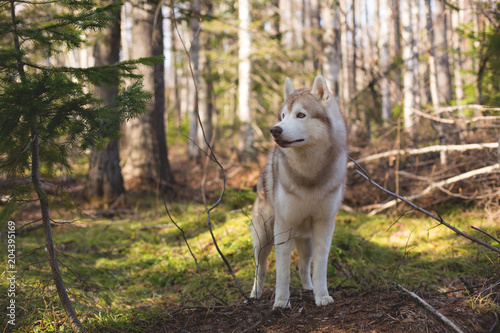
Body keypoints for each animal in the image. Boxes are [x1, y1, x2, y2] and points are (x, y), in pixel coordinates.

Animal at [250, 75, 348, 308]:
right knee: (260, 268)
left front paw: (322, 296)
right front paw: (281, 302)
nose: (274, 129)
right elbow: (282, 272)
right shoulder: (283, 226)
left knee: (304, 266)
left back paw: (307, 288)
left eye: (301, 115)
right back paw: (254, 294)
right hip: (263, 238)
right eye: (283, 116)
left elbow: (319, 267)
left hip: (306, 241)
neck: (309, 175)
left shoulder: (324, 224)